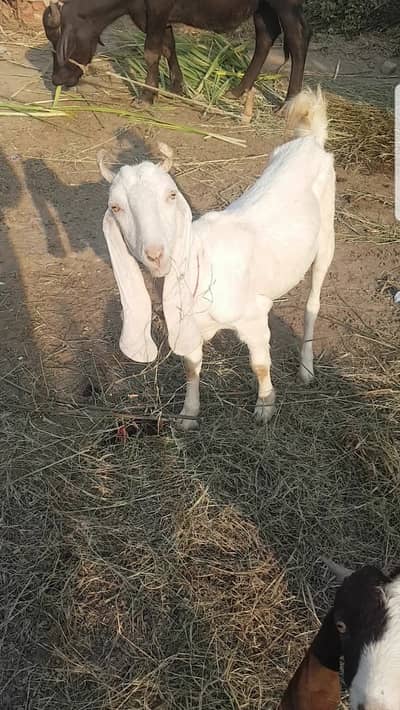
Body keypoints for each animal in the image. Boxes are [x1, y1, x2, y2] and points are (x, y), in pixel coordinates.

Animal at [43, 0, 310, 107]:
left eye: (63, 42)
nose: (57, 79)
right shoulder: (153, 17)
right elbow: (168, 47)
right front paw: (177, 87)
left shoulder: (158, 10)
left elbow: (151, 52)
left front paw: (146, 96)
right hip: (262, 7)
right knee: (265, 36)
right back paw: (237, 90)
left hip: (286, 5)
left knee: (298, 38)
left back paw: (288, 103)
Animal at [97, 87, 335, 429]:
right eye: (115, 207)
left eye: (171, 195)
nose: (156, 255)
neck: (203, 261)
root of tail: (309, 141)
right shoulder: (189, 325)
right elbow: (191, 366)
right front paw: (188, 414)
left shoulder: (254, 317)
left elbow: (260, 364)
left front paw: (265, 407)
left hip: (327, 238)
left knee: (312, 304)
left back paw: (306, 370)